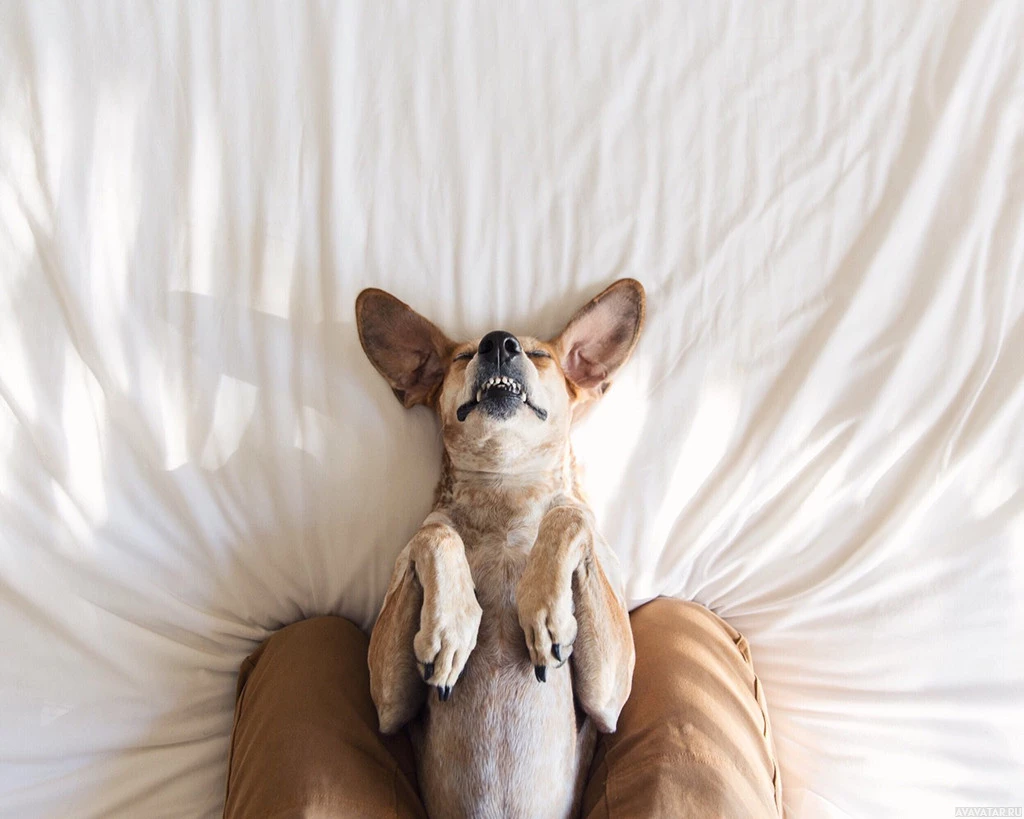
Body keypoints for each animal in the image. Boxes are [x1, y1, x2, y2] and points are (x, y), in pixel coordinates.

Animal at [356, 279, 644, 818]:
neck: (505, 492)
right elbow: (435, 532)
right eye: (462, 356)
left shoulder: (610, 698)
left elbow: (568, 513)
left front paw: (544, 609)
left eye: (539, 354)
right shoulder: (387, 705)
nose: (498, 343)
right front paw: (452, 625)